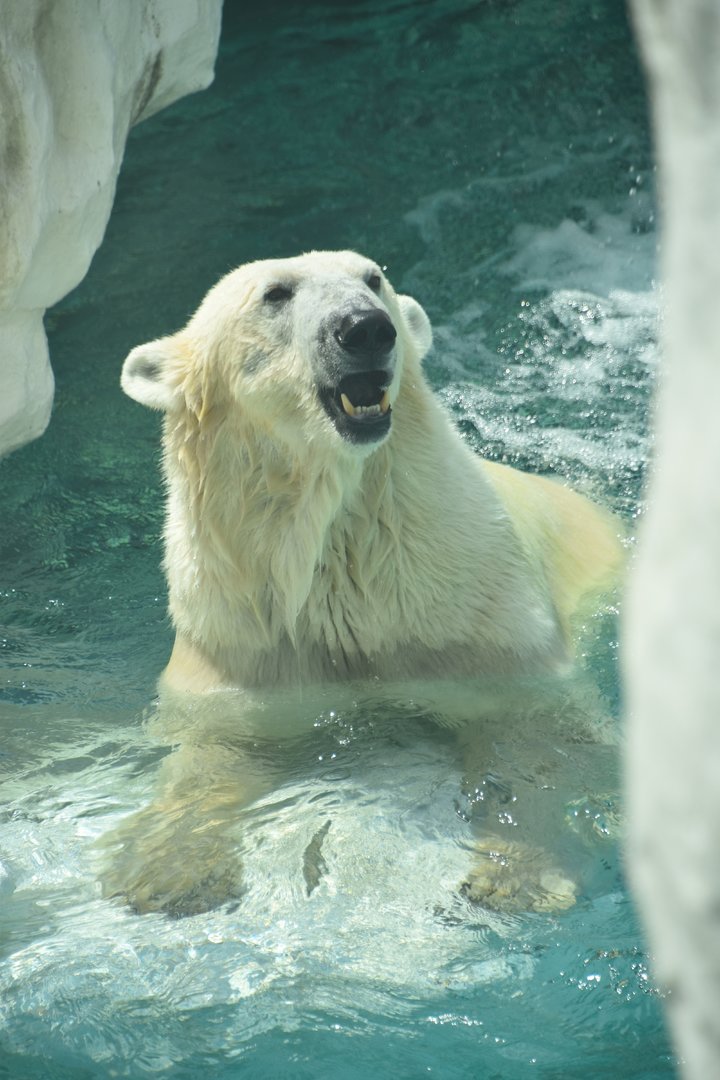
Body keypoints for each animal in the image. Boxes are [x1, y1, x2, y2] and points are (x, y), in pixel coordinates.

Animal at [103, 250, 623, 917]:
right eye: (275, 293)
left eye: (373, 278)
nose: (365, 328)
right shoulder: (243, 641)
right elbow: (213, 754)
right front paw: (167, 873)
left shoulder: (481, 624)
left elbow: (536, 739)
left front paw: (517, 876)